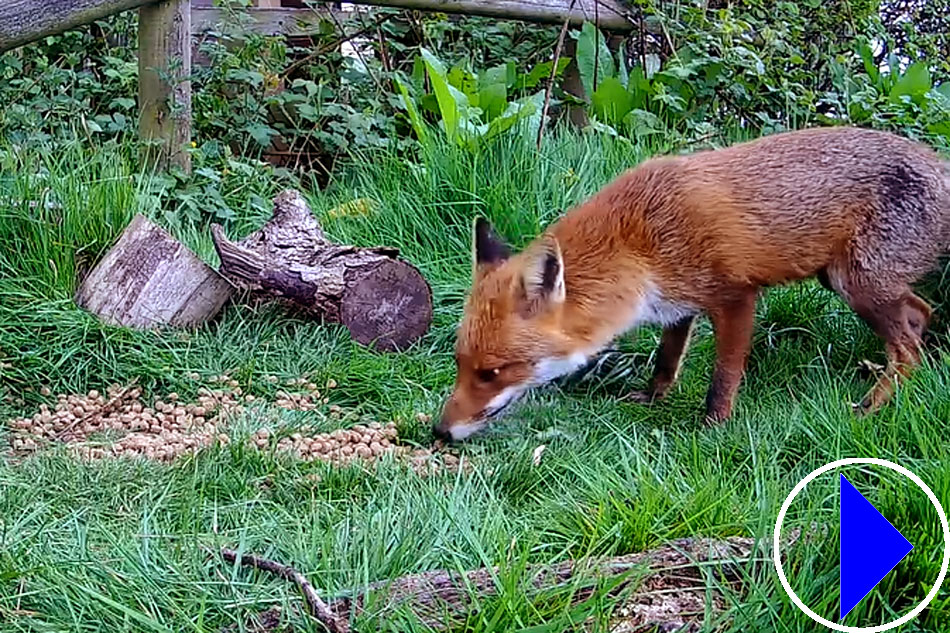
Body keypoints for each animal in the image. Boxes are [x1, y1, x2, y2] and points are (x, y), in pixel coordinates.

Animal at [434, 123, 950, 440]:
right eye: (460, 363)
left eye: (491, 373)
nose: (439, 431)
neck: (638, 243)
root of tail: (939, 164)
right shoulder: (676, 306)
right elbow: (666, 360)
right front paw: (651, 398)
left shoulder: (737, 297)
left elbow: (723, 377)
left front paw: (713, 428)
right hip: (846, 280)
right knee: (921, 313)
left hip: (856, 284)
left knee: (907, 348)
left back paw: (871, 407)